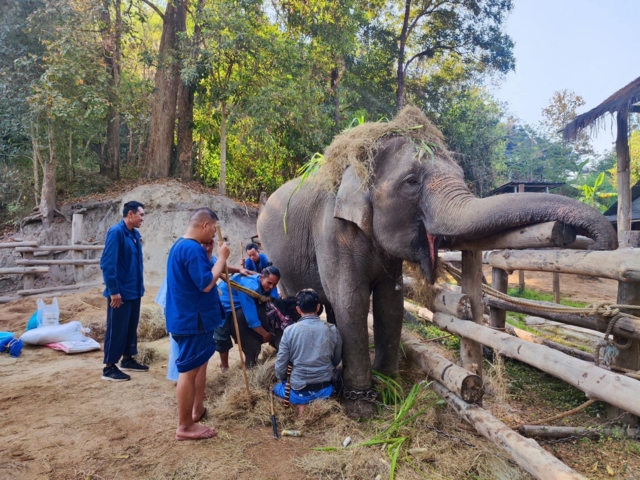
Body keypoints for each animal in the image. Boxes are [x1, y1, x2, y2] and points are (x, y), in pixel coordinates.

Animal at [256, 107, 620, 414]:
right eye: (412, 182)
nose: (599, 243)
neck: (358, 163)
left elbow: (390, 300)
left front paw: (390, 389)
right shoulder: (333, 230)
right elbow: (353, 300)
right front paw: (361, 409)